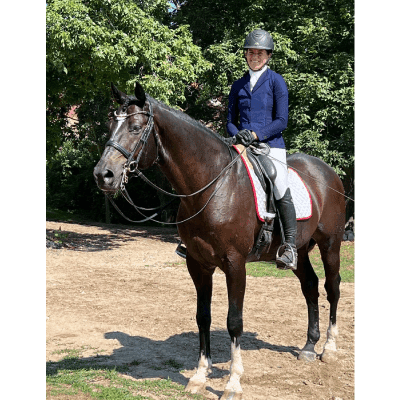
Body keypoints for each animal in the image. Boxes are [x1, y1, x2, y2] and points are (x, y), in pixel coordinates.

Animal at [94, 82, 346, 400]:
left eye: (136, 127)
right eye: (109, 126)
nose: (103, 175)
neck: (212, 185)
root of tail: (327, 172)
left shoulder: (235, 264)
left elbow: (234, 322)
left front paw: (233, 383)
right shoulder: (198, 264)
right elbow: (203, 316)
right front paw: (199, 377)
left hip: (331, 245)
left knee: (332, 288)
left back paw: (329, 348)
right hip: (298, 249)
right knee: (310, 286)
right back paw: (309, 347)